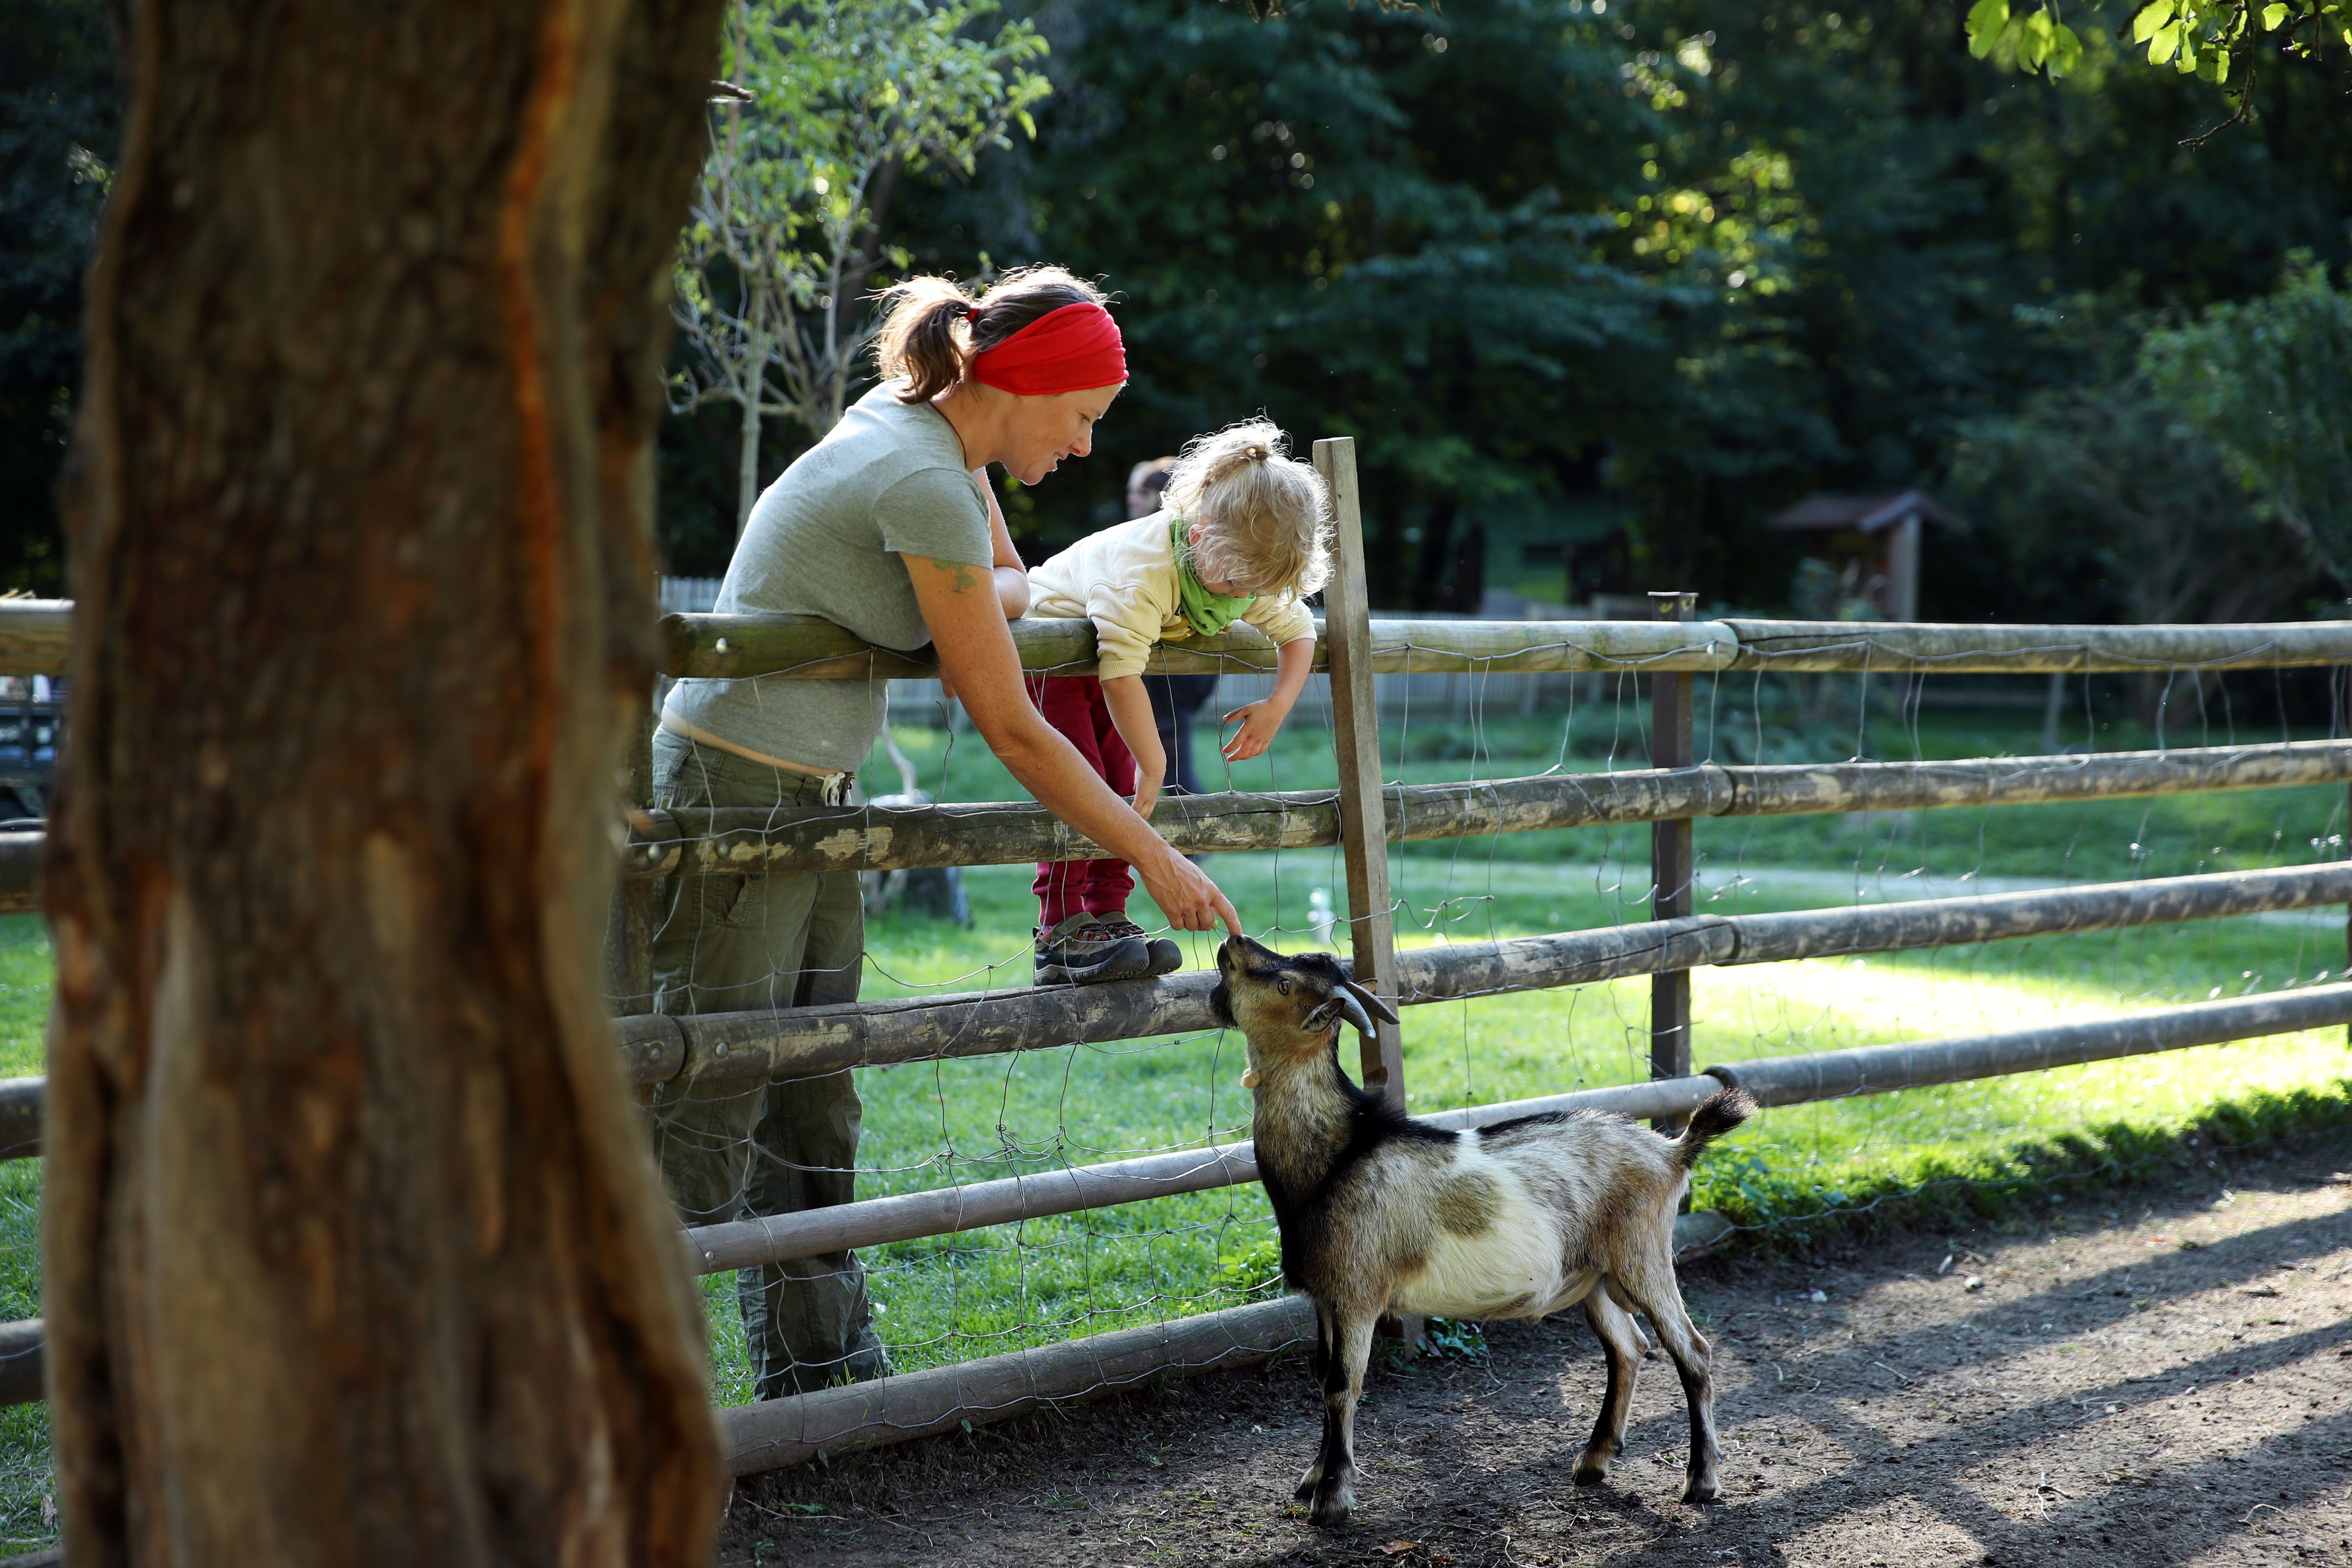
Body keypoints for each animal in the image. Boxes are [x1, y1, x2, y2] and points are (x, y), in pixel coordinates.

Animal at [1210, 933, 1754, 1526]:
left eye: (1284, 984)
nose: (1230, 944)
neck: (1338, 1157)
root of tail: (1671, 1151)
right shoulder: (1325, 1296)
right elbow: (1318, 1373)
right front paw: (1313, 1478)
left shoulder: (1357, 1292)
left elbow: (1341, 1384)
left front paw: (1331, 1499)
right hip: (1592, 1274)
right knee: (1627, 1348)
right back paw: (1593, 1461)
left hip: (1642, 1255)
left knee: (1691, 1351)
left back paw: (1700, 1480)